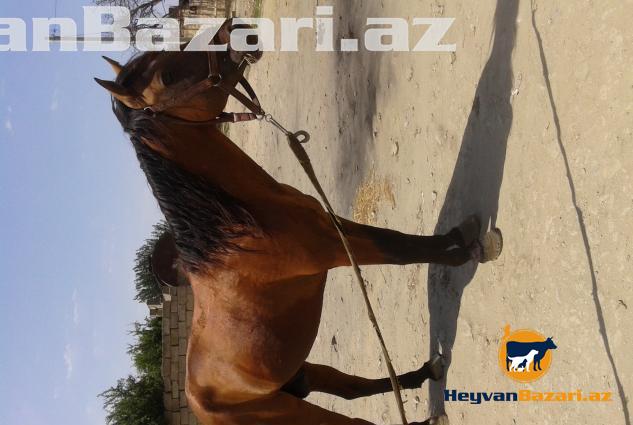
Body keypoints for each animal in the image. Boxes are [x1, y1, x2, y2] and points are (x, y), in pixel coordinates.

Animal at [95, 19, 502, 425]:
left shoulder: (334, 228)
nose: (238, 30)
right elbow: (400, 250)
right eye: (166, 76)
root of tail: (200, 406)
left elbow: (398, 238)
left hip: (300, 373)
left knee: (353, 389)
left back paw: (424, 373)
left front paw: (461, 234)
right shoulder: (338, 249)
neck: (243, 226)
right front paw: (472, 249)